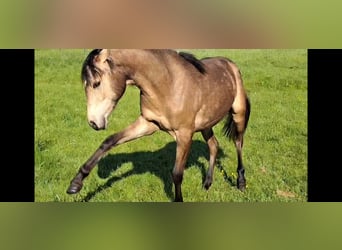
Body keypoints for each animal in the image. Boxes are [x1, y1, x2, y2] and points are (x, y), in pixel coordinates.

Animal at [66, 48, 251, 201]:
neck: (167, 84)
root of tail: (230, 64)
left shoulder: (184, 134)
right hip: (206, 124)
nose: (93, 122)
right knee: (213, 145)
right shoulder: (148, 124)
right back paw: (207, 183)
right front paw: (75, 184)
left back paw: (241, 183)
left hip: (238, 115)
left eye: (96, 83)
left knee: (238, 143)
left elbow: (177, 174)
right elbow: (109, 141)